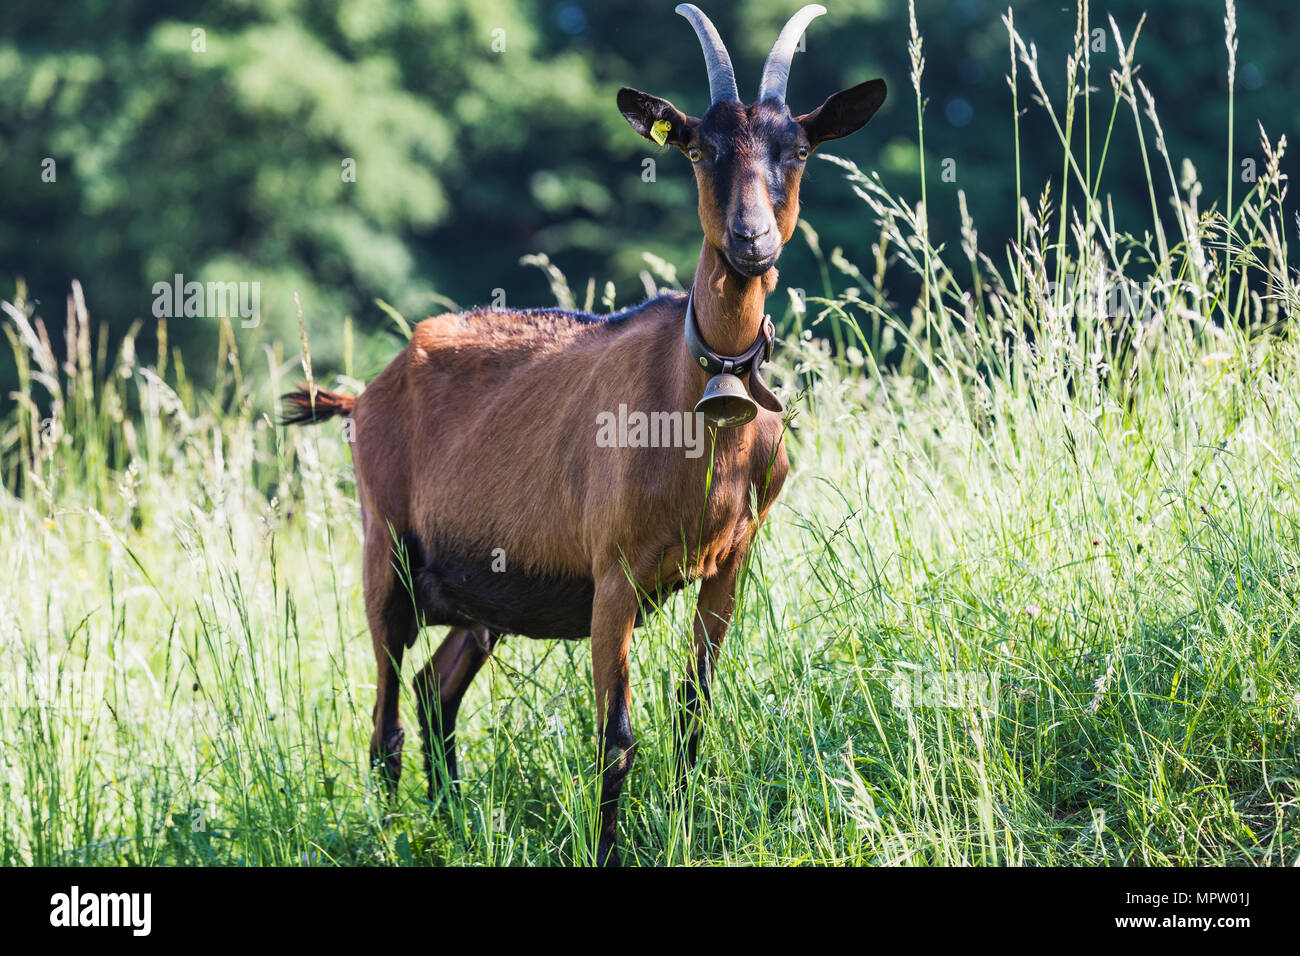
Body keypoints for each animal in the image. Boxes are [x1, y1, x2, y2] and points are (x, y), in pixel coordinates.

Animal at [282, 3, 885, 866]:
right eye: (697, 148)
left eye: (797, 149)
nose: (751, 241)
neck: (697, 408)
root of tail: (365, 392)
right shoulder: (613, 573)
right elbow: (616, 737)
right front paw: (610, 848)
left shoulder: (732, 561)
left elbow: (694, 712)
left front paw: (686, 831)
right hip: (386, 552)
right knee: (385, 723)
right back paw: (395, 835)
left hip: (480, 596)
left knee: (433, 696)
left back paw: (451, 826)